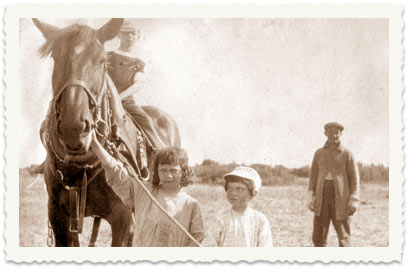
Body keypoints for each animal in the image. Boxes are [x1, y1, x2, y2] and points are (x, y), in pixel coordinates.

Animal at [34, 18, 181, 247]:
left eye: (102, 60)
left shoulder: (122, 217)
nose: (73, 128)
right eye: (55, 56)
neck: (81, 169)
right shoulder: (58, 216)